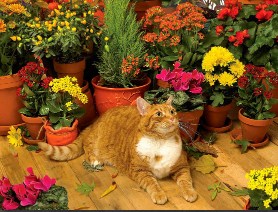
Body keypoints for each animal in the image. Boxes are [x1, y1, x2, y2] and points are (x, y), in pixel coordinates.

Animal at [38, 97, 198, 205]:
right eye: (159, 114)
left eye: (173, 111)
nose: (172, 119)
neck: (160, 141)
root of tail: (95, 121)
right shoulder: (139, 170)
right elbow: (152, 183)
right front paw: (159, 194)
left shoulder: (182, 166)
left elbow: (186, 180)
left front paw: (190, 192)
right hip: (96, 142)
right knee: (86, 146)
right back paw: (95, 160)